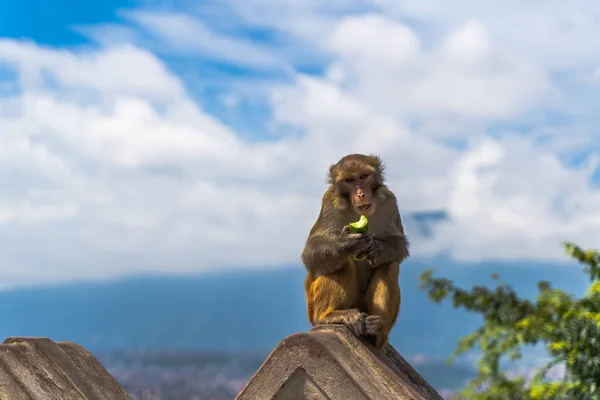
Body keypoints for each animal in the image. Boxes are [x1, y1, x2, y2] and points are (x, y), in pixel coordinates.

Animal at [300, 153, 408, 346]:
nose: (360, 194)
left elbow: (399, 244)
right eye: (349, 180)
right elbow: (311, 253)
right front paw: (347, 244)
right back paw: (330, 315)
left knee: (389, 264)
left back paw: (378, 330)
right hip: (313, 308)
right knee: (339, 262)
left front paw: (377, 247)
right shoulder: (330, 202)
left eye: (364, 177)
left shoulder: (390, 201)